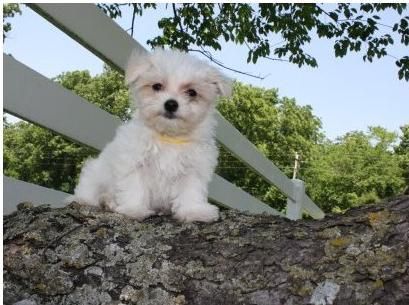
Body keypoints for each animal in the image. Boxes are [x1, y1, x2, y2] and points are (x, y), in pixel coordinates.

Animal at [68, 49, 231, 221]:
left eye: (192, 92)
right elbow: (135, 187)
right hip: (95, 176)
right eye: (157, 86)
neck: (168, 136)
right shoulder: (134, 162)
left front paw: (194, 211)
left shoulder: (193, 169)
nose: (171, 104)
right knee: (90, 193)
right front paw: (133, 210)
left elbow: (191, 191)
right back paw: (103, 201)